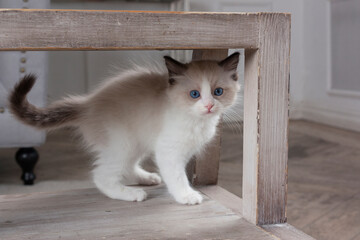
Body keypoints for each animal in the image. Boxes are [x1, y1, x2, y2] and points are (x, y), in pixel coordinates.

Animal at [8, 52, 240, 204]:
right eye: (194, 94)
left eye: (218, 92)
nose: (209, 106)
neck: (196, 121)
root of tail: (87, 103)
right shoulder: (168, 151)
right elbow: (177, 176)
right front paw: (187, 196)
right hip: (122, 143)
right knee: (101, 176)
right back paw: (131, 194)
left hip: (136, 142)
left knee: (126, 168)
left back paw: (147, 178)